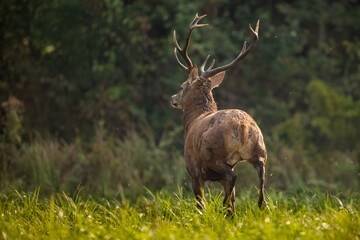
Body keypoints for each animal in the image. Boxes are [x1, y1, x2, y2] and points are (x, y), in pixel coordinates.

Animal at [170, 13, 266, 212]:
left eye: (182, 86)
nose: (173, 98)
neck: (192, 121)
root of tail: (242, 125)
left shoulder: (193, 169)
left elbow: (199, 203)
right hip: (259, 147)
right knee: (260, 171)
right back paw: (260, 205)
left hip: (213, 154)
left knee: (233, 177)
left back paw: (222, 207)